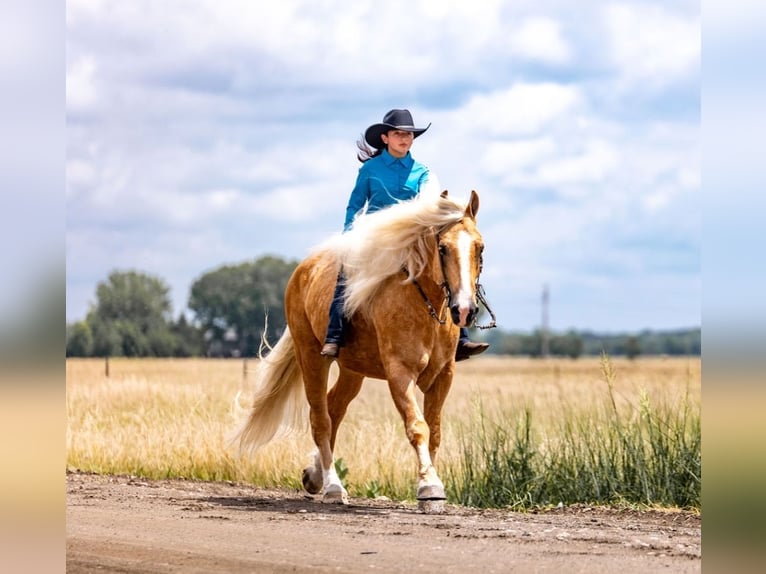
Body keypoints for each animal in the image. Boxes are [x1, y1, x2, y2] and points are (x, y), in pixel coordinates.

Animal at [236, 191, 486, 506]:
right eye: (442, 248)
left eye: (480, 248)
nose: (464, 309)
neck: (424, 307)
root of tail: (303, 271)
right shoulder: (400, 374)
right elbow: (417, 427)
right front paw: (429, 486)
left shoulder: (443, 376)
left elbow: (435, 431)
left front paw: (431, 483)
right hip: (311, 358)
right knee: (321, 418)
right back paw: (332, 486)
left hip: (352, 370)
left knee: (333, 409)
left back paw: (314, 475)